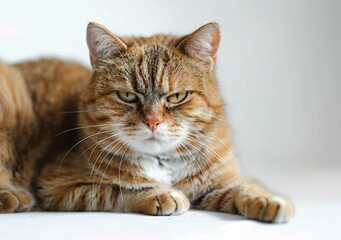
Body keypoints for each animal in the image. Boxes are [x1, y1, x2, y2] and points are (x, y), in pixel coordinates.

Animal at [0, 22, 292, 223]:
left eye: (177, 97)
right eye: (128, 96)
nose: (152, 122)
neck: (162, 161)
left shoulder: (219, 180)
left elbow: (245, 186)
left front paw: (269, 200)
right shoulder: (58, 185)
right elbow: (117, 189)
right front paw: (161, 194)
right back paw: (14, 196)